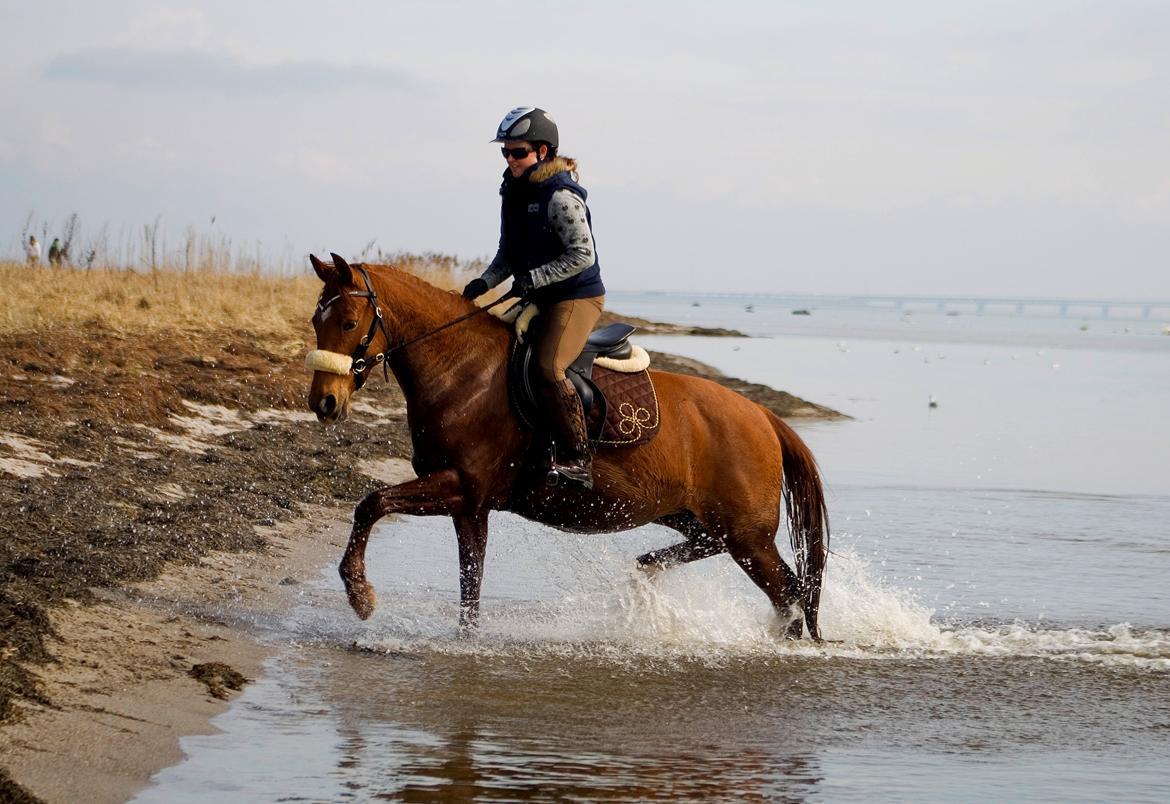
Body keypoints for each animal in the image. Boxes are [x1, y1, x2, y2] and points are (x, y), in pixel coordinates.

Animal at [306, 255, 828, 636]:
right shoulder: (470, 506)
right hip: (696, 517)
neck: (462, 369)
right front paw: (465, 643)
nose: (324, 402)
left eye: (349, 322)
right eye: (316, 320)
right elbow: (470, 584)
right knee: (745, 568)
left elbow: (371, 503)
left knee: (790, 594)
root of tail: (762, 416)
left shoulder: (460, 486)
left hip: (747, 537)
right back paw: (647, 571)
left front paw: (360, 596)